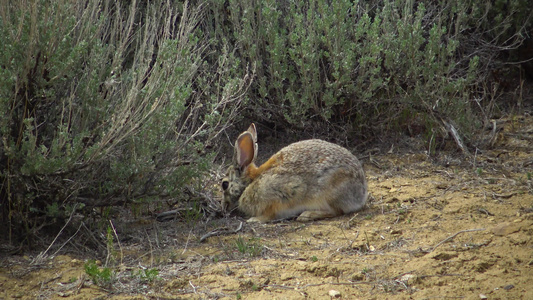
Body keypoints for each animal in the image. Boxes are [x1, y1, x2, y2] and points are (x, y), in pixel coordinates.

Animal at [220, 122, 366, 223]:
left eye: (224, 184)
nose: (224, 207)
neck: (250, 182)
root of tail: (362, 193)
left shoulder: (280, 195)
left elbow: (270, 213)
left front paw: (254, 220)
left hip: (330, 193)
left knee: (336, 211)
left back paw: (307, 215)